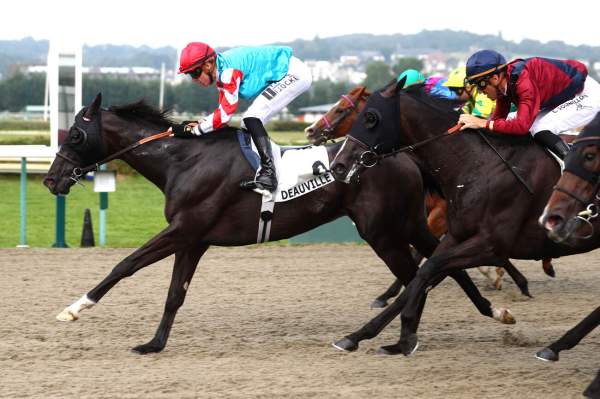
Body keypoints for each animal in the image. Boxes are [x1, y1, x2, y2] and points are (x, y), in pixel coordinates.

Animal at [328, 83, 600, 358]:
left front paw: (406, 334)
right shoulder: (456, 236)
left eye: (371, 118)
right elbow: (424, 274)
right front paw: (363, 335)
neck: (478, 165)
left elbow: (429, 268)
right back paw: (556, 345)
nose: (338, 165)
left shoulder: (490, 245)